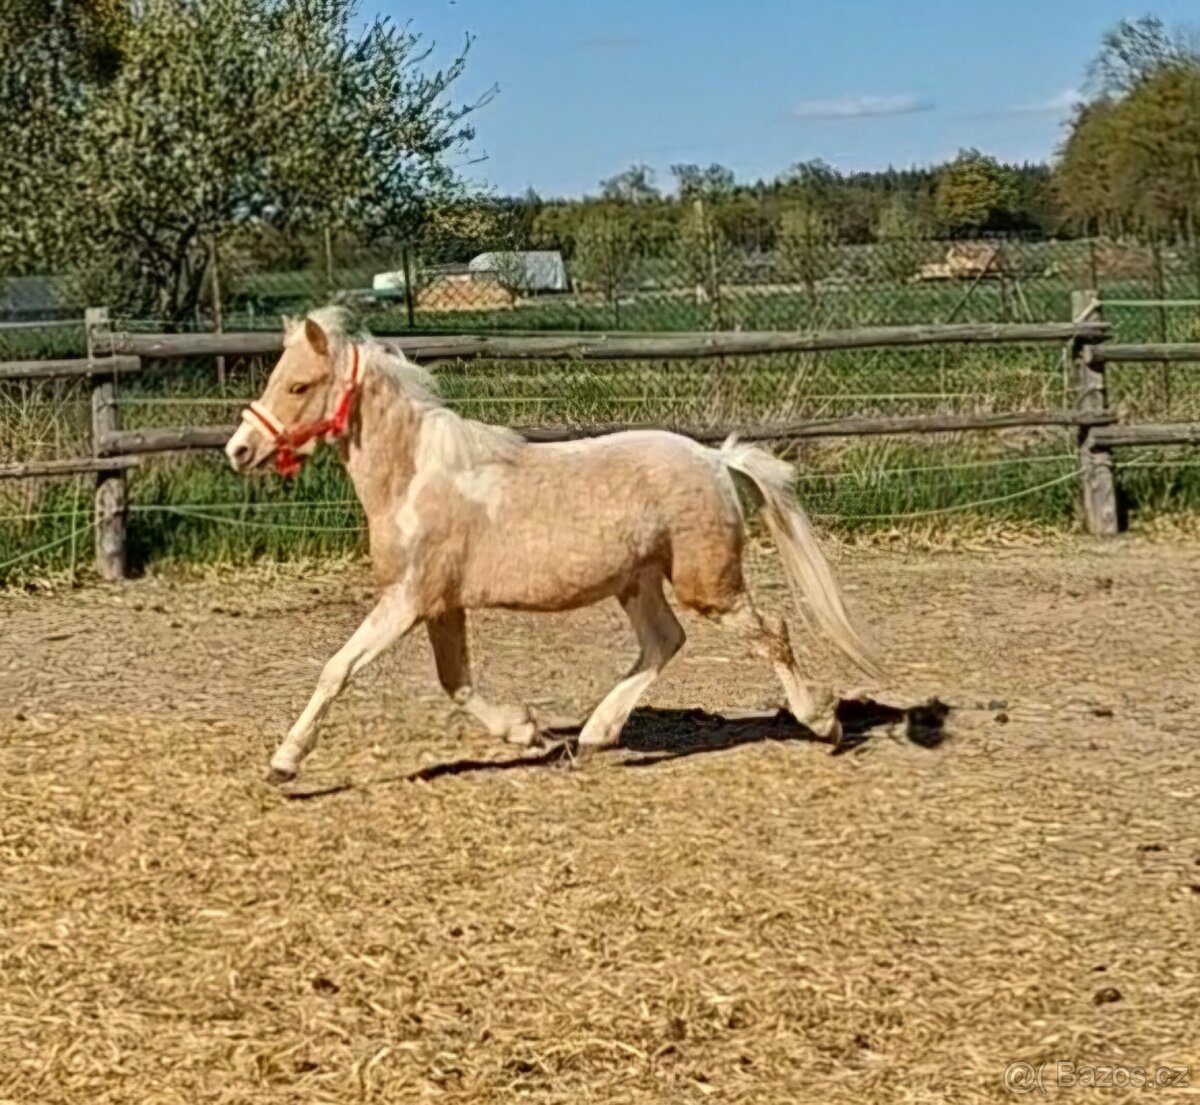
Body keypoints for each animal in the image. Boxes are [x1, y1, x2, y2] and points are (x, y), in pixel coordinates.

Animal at [225, 308, 881, 784]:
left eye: (299, 385)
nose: (238, 450)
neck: (414, 477)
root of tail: (715, 458)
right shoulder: (441, 604)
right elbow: (456, 682)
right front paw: (529, 733)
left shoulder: (409, 598)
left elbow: (338, 668)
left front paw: (284, 764)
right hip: (637, 582)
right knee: (664, 642)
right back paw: (592, 737)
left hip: (707, 584)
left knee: (771, 632)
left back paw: (823, 724)